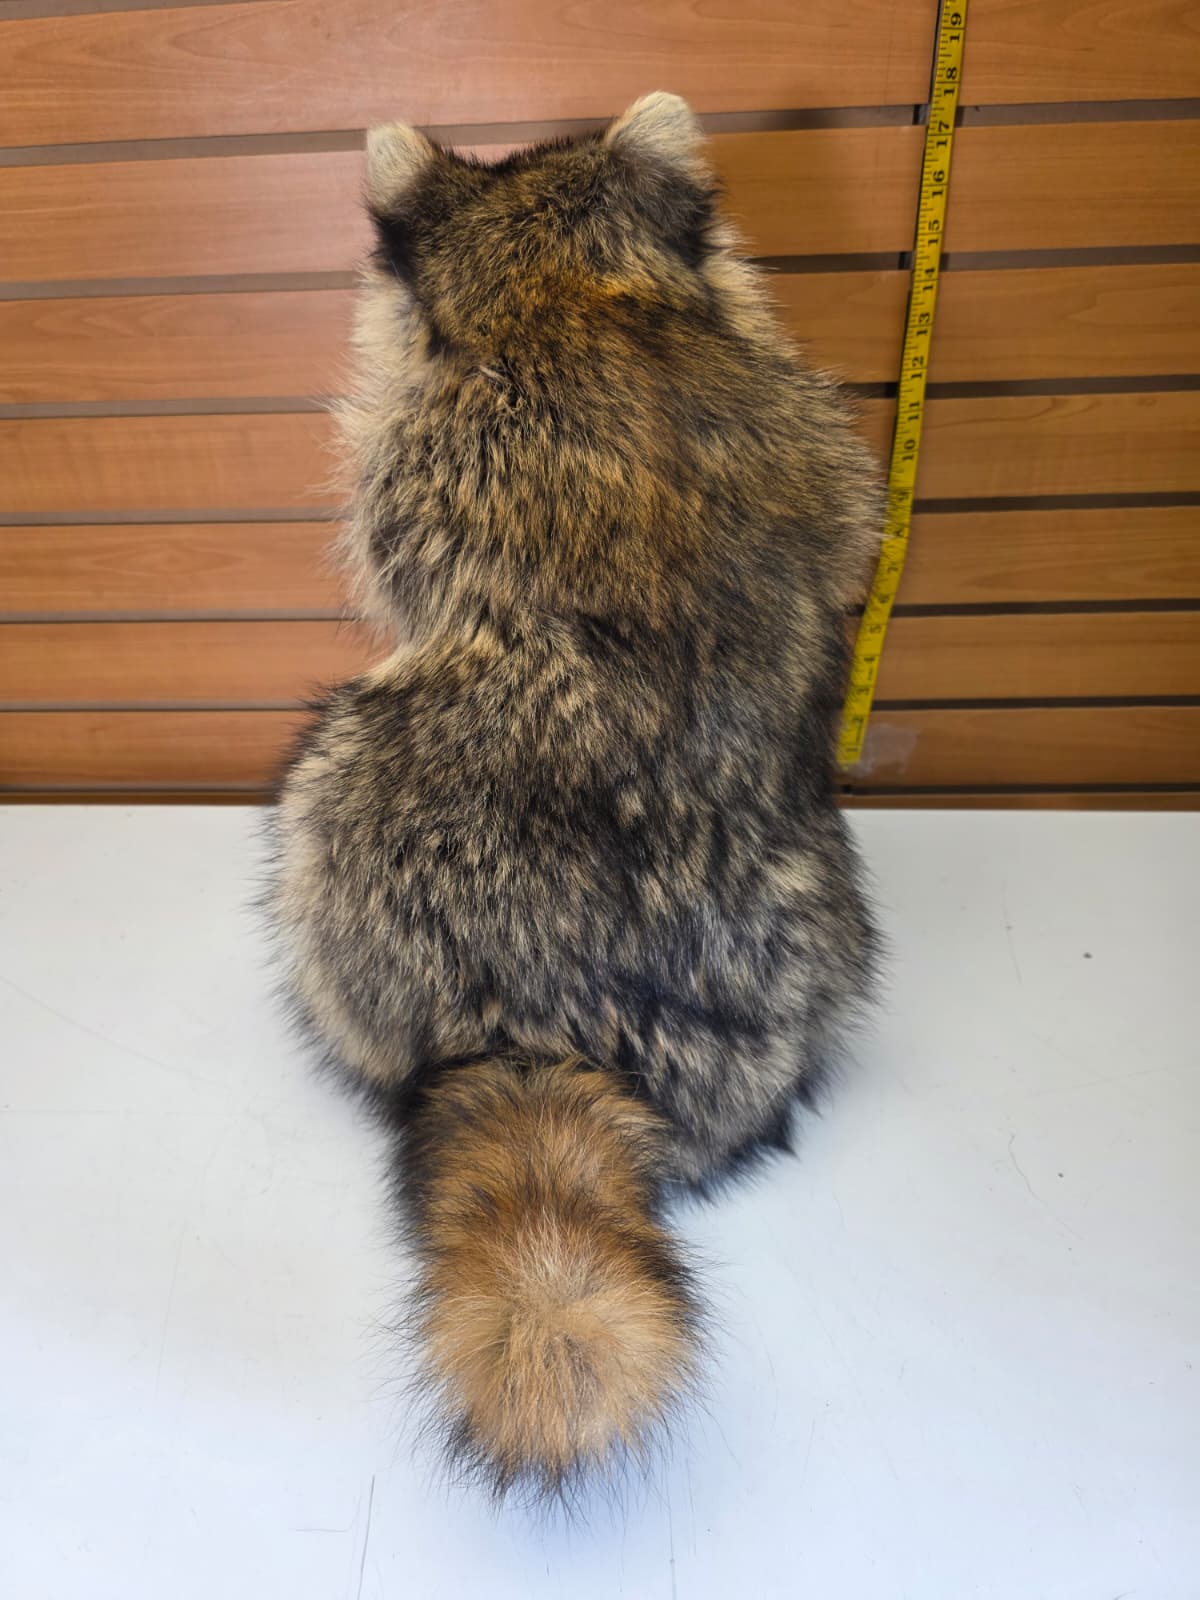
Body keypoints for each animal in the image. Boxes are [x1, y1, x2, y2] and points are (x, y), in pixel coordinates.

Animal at [269, 92, 880, 1501]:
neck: (568, 287)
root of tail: (550, 1028)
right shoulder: (800, 409)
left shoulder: (425, 451)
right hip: (815, 927)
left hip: (358, 830)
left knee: (321, 796)